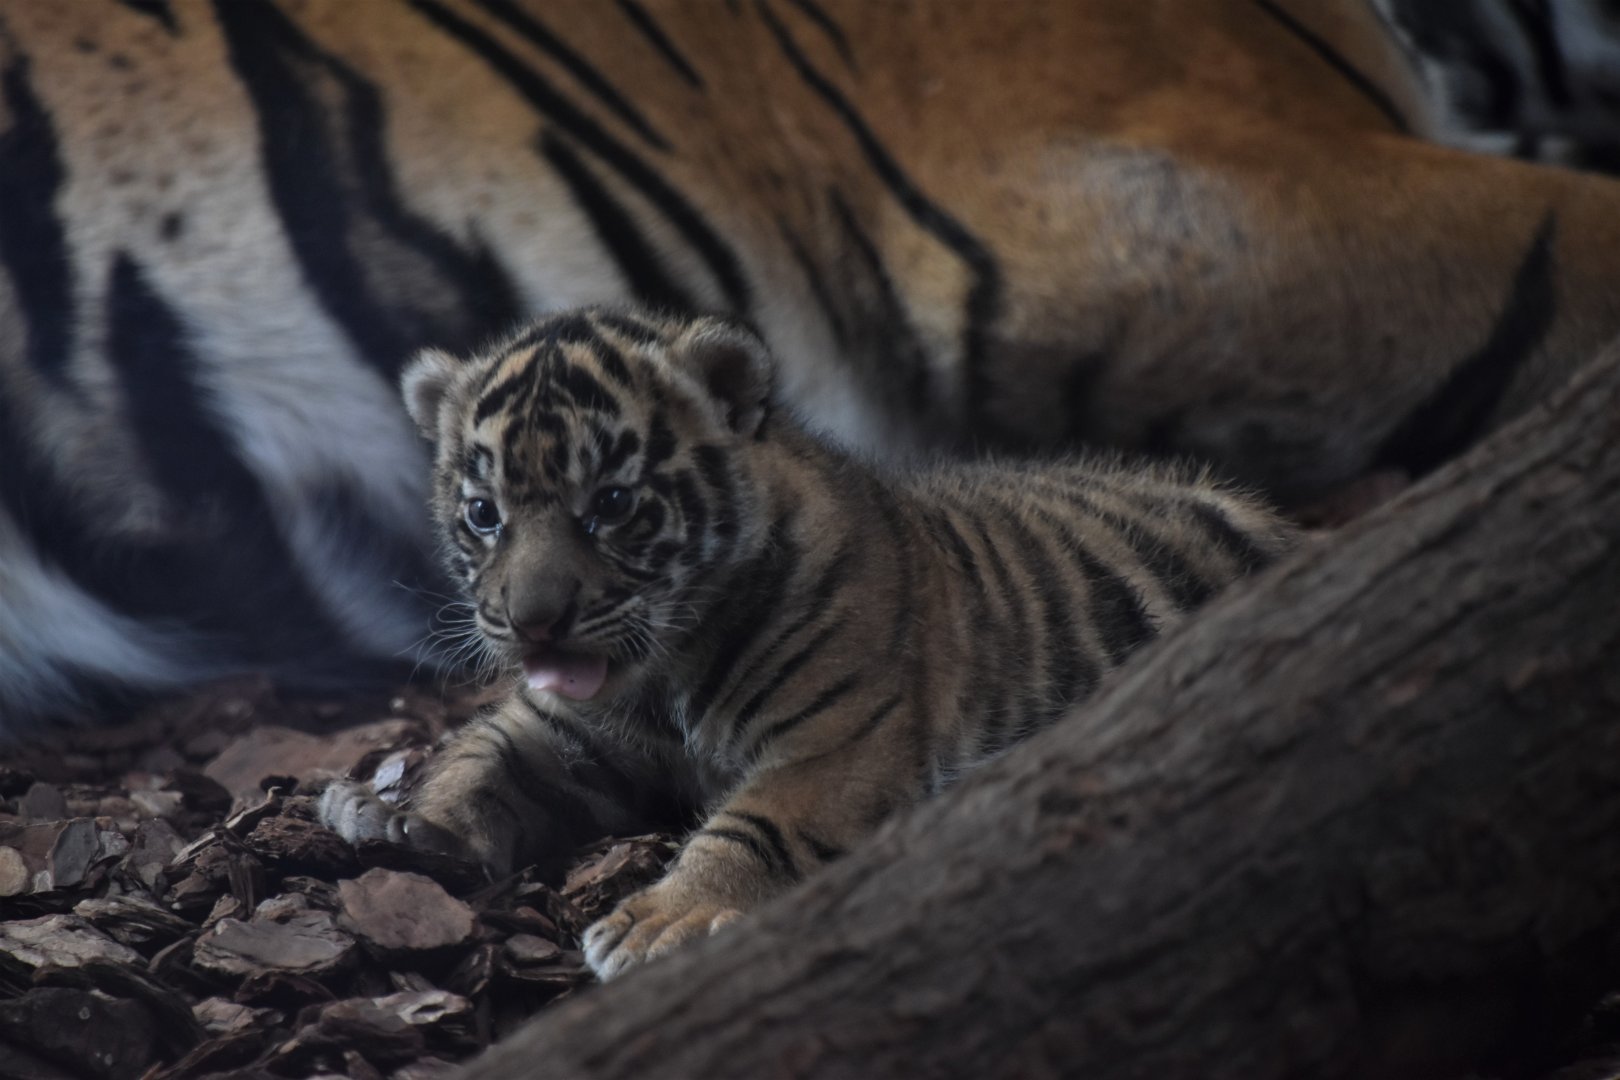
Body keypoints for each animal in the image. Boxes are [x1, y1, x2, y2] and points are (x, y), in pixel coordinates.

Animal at [319, 306, 1300, 978]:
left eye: (611, 504)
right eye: (485, 514)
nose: (532, 623)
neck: (663, 676)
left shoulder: (837, 741)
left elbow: (755, 824)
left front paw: (665, 920)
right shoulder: (559, 732)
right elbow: (477, 754)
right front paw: (403, 813)